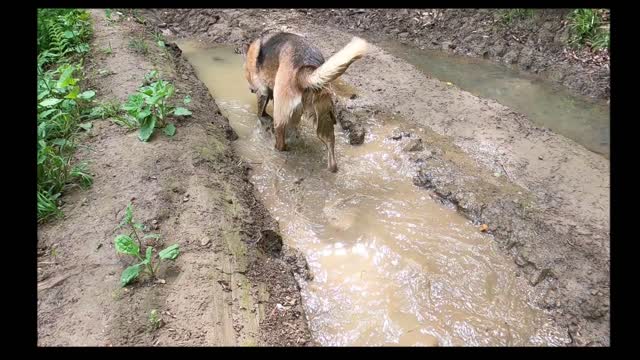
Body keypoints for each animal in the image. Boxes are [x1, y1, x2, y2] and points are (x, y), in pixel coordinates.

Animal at [241, 31, 370, 172]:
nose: (250, 89)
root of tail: (306, 71)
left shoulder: (262, 91)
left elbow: (260, 112)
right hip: (324, 118)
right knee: (331, 144)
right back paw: (332, 168)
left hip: (280, 117)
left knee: (280, 142)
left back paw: (276, 148)